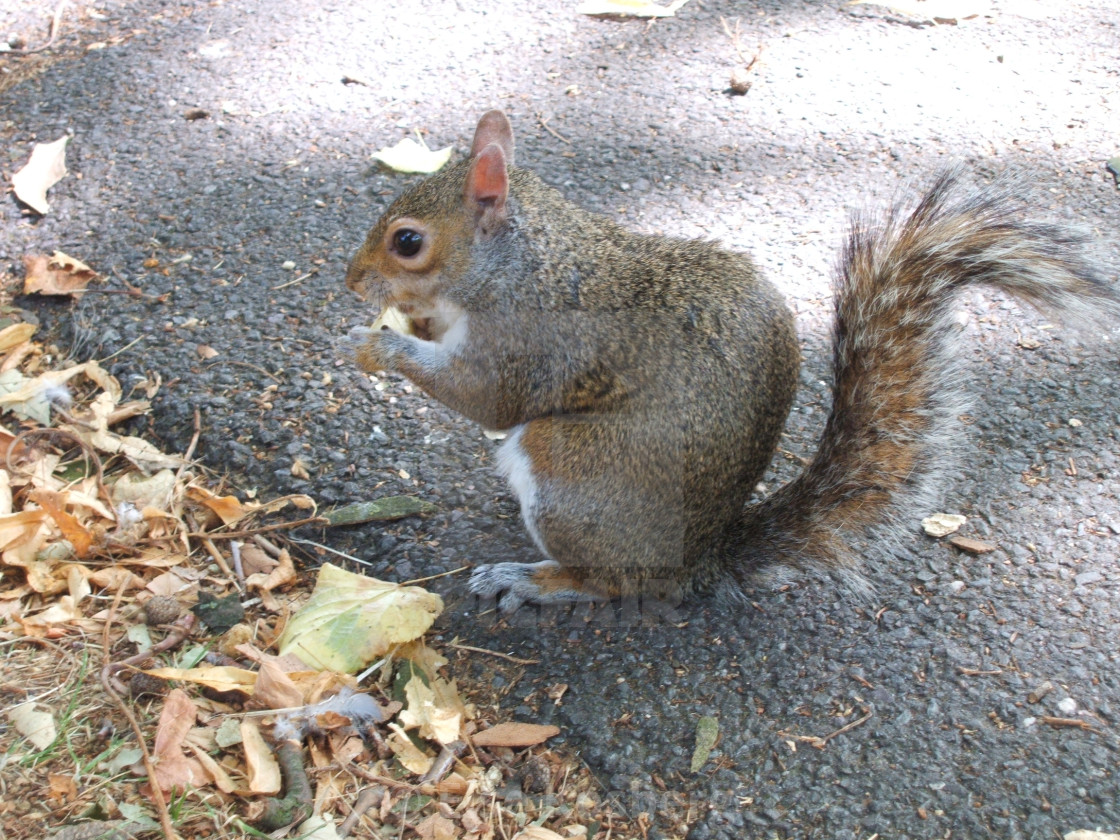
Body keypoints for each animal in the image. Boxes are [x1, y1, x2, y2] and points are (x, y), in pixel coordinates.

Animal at [344, 110, 1115, 613]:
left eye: (407, 241)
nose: (353, 282)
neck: (515, 263)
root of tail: (701, 556)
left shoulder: (524, 340)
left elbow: (483, 397)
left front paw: (382, 345)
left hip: (576, 477)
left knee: (613, 580)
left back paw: (534, 579)